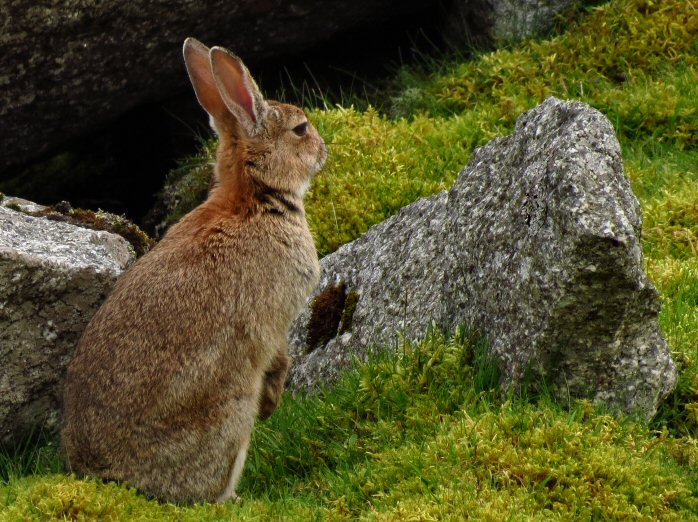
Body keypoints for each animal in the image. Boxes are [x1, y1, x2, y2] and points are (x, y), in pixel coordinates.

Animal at [59, 35, 324, 500]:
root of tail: (108, 476)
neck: (253, 198)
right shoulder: (272, 319)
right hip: (230, 412)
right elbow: (276, 355)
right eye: (300, 129)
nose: (324, 150)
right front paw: (275, 400)